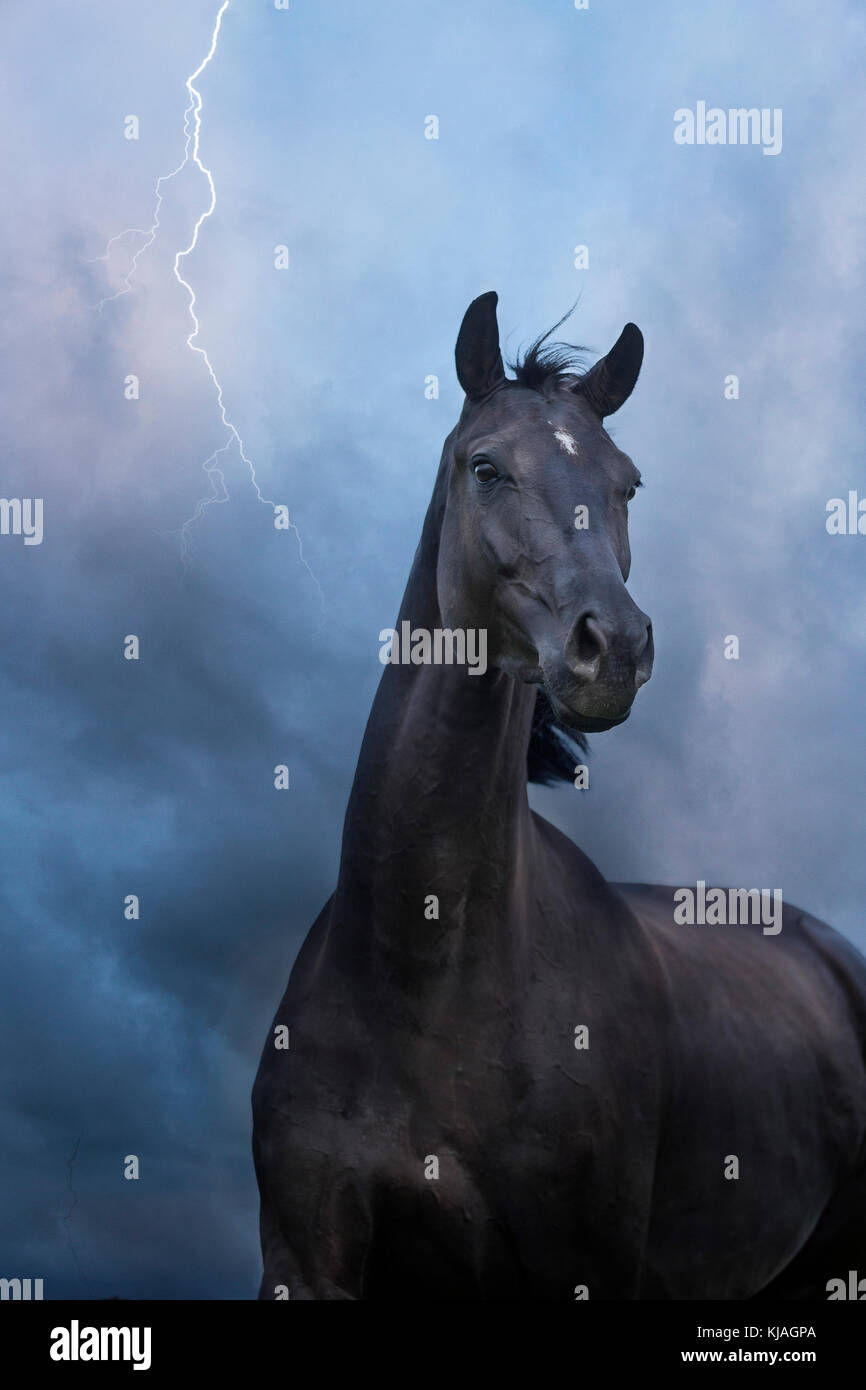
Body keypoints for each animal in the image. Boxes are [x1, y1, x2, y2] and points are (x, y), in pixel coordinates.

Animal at [252, 291, 866, 1299]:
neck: (416, 978)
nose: (612, 647)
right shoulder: (304, 1262)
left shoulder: (580, 1269)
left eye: (629, 484)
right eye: (486, 467)